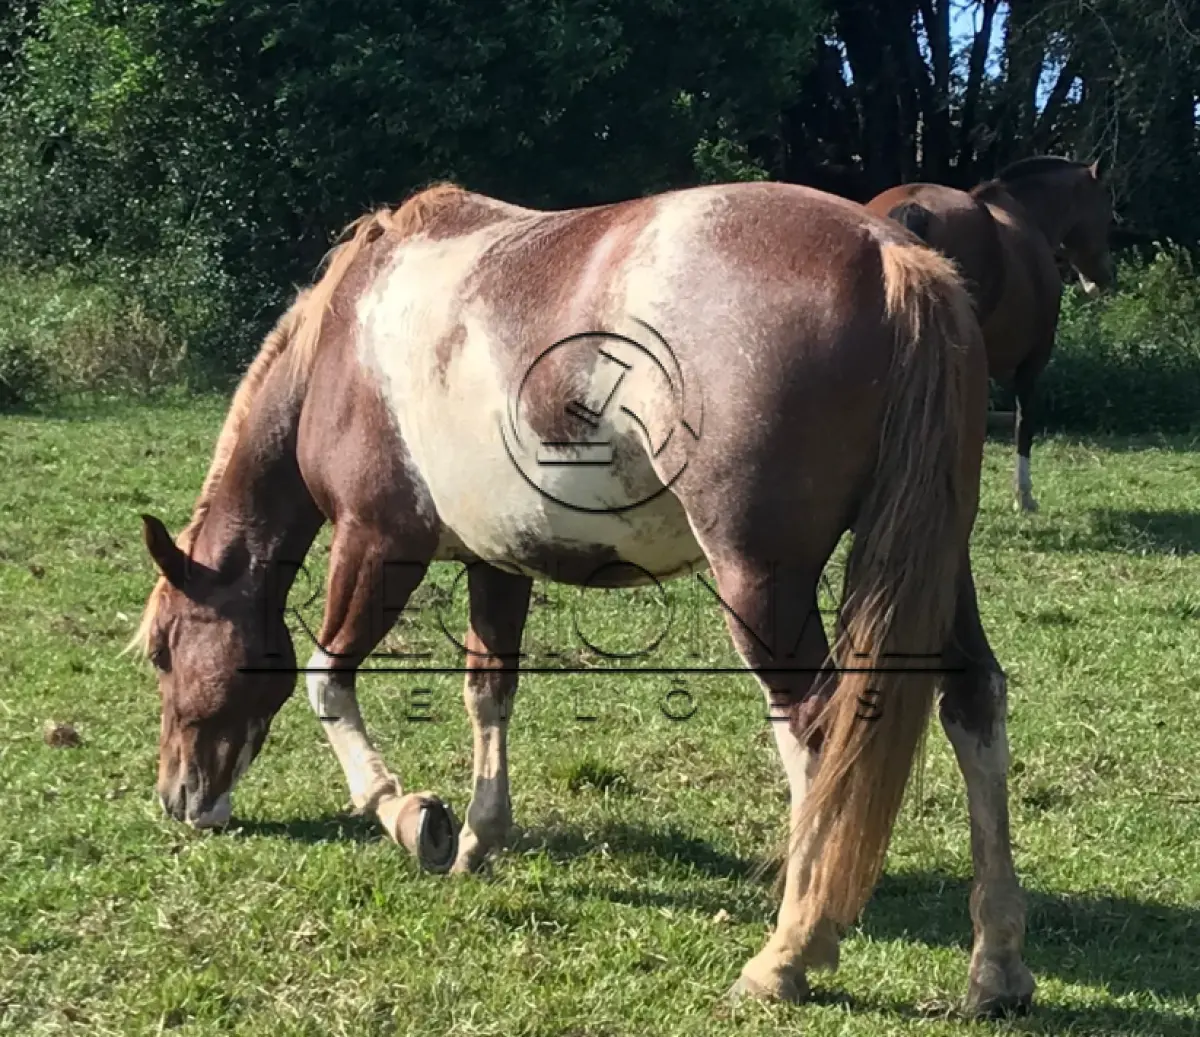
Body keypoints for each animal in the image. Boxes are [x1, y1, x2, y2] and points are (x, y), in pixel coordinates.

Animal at [130, 179, 1033, 1015]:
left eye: (165, 651)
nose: (178, 798)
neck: (346, 340)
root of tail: (890, 258)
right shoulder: (497, 560)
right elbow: (488, 692)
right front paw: (477, 838)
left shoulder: (377, 542)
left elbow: (327, 679)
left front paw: (407, 814)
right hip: (937, 564)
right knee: (972, 702)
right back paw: (996, 967)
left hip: (760, 583)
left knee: (816, 728)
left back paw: (788, 954)